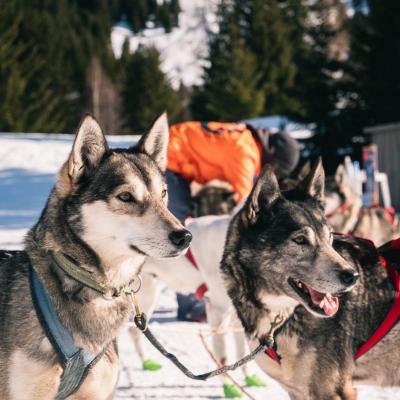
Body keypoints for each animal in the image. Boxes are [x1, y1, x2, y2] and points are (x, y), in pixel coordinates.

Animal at [220, 159, 398, 396]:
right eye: (300, 240)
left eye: (329, 236)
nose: (353, 276)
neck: (281, 316)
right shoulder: (298, 391)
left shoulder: (333, 391)